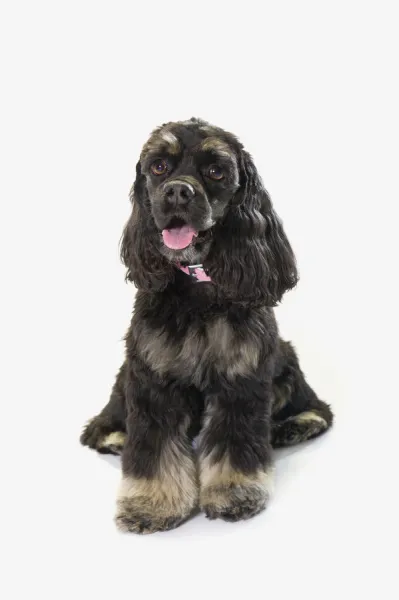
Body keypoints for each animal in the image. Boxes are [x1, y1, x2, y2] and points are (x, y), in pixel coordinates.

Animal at [81, 118, 334, 536]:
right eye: (159, 167)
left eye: (216, 171)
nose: (177, 191)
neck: (199, 288)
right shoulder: (153, 380)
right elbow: (154, 450)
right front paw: (151, 504)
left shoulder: (242, 377)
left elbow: (235, 444)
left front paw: (235, 493)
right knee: (100, 424)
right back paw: (115, 435)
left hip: (284, 357)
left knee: (317, 409)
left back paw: (289, 427)